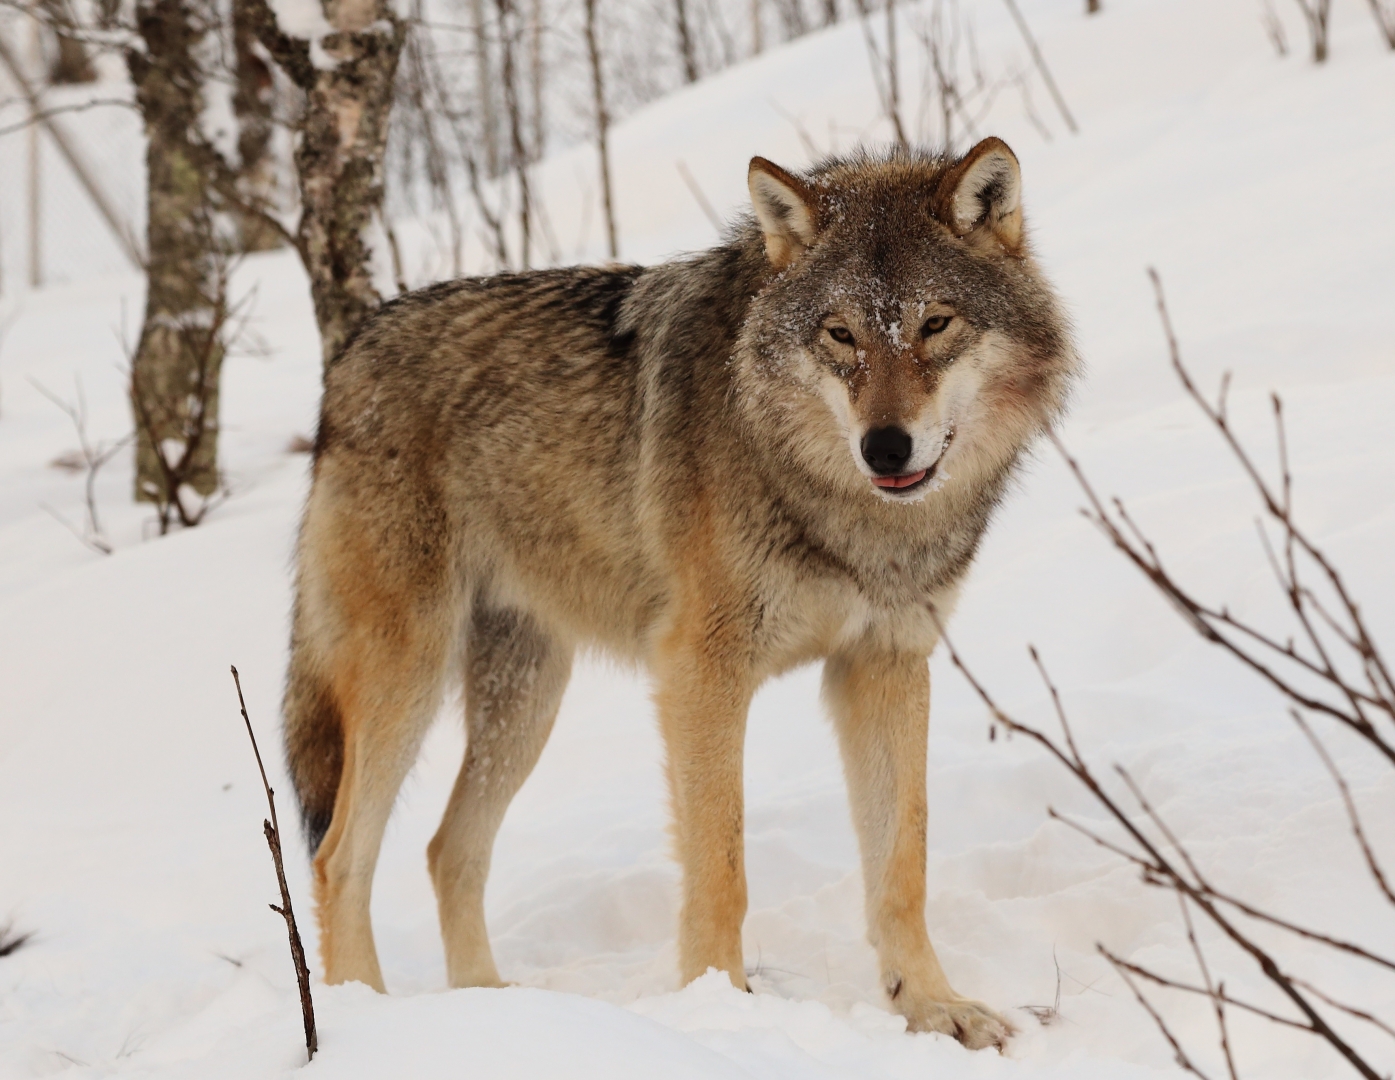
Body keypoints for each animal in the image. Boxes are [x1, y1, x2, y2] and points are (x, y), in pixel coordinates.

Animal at [283, 135, 1076, 1049]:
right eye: (840, 335)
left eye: (935, 324)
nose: (884, 447)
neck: (842, 510)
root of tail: (350, 353)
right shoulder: (701, 671)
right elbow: (721, 866)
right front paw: (719, 1011)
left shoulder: (883, 665)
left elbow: (900, 864)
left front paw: (932, 1007)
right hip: (406, 681)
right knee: (340, 856)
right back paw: (365, 1019)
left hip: (526, 700)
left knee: (449, 850)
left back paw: (497, 1011)